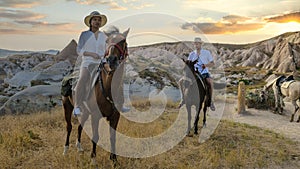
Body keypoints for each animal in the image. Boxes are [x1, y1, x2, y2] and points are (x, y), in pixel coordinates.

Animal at [61, 26, 129, 166]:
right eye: (107, 41)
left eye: (123, 41)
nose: (111, 59)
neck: (109, 88)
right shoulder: (95, 116)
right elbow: (95, 137)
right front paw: (93, 160)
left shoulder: (115, 116)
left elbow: (112, 137)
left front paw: (114, 160)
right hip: (67, 106)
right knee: (69, 127)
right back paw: (65, 150)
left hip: (85, 112)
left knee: (80, 126)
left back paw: (79, 147)